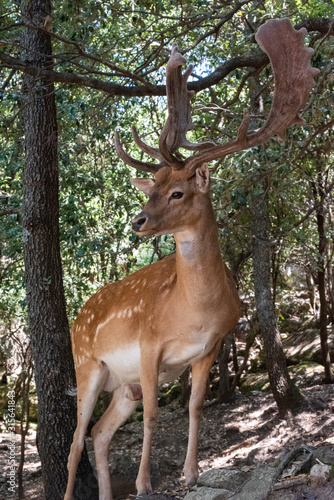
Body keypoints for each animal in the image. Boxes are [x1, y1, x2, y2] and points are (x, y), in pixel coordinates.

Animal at [64, 18, 318, 500]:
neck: (193, 311)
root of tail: (76, 318)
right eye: (154, 187)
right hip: (87, 364)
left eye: (178, 192)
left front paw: (191, 473)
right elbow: (155, 416)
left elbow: (196, 407)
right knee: (75, 442)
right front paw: (144, 483)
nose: (138, 221)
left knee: (99, 434)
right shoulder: (148, 343)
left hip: (121, 385)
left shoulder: (209, 348)